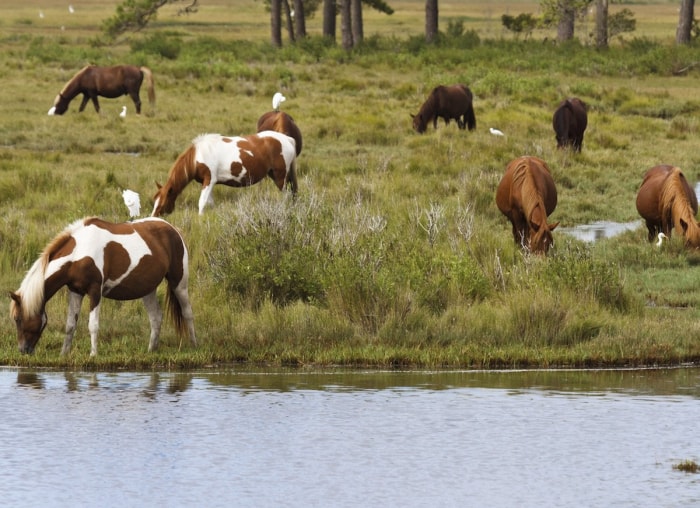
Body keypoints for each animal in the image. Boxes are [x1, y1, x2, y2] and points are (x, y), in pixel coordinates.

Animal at [8, 216, 197, 356]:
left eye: (17, 319)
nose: (23, 350)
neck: (80, 252)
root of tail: (172, 229)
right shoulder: (75, 291)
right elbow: (70, 325)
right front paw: (64, 354)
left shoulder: (95, 291)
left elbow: (93, 325)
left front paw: (93, 354)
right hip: (147, 289)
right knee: (156, 317)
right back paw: (151, 350)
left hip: (179, 283)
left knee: (187, 313)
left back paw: (194, 344)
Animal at [152, 131, 296, 216]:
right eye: (155, 201)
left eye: (162, 203)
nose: (153, 217)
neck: (198, 156)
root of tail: (288, 139)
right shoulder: (207, 183)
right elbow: (209, 203)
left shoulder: (209, 180)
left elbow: (201, 202)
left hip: (280, 177)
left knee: (287, 196)